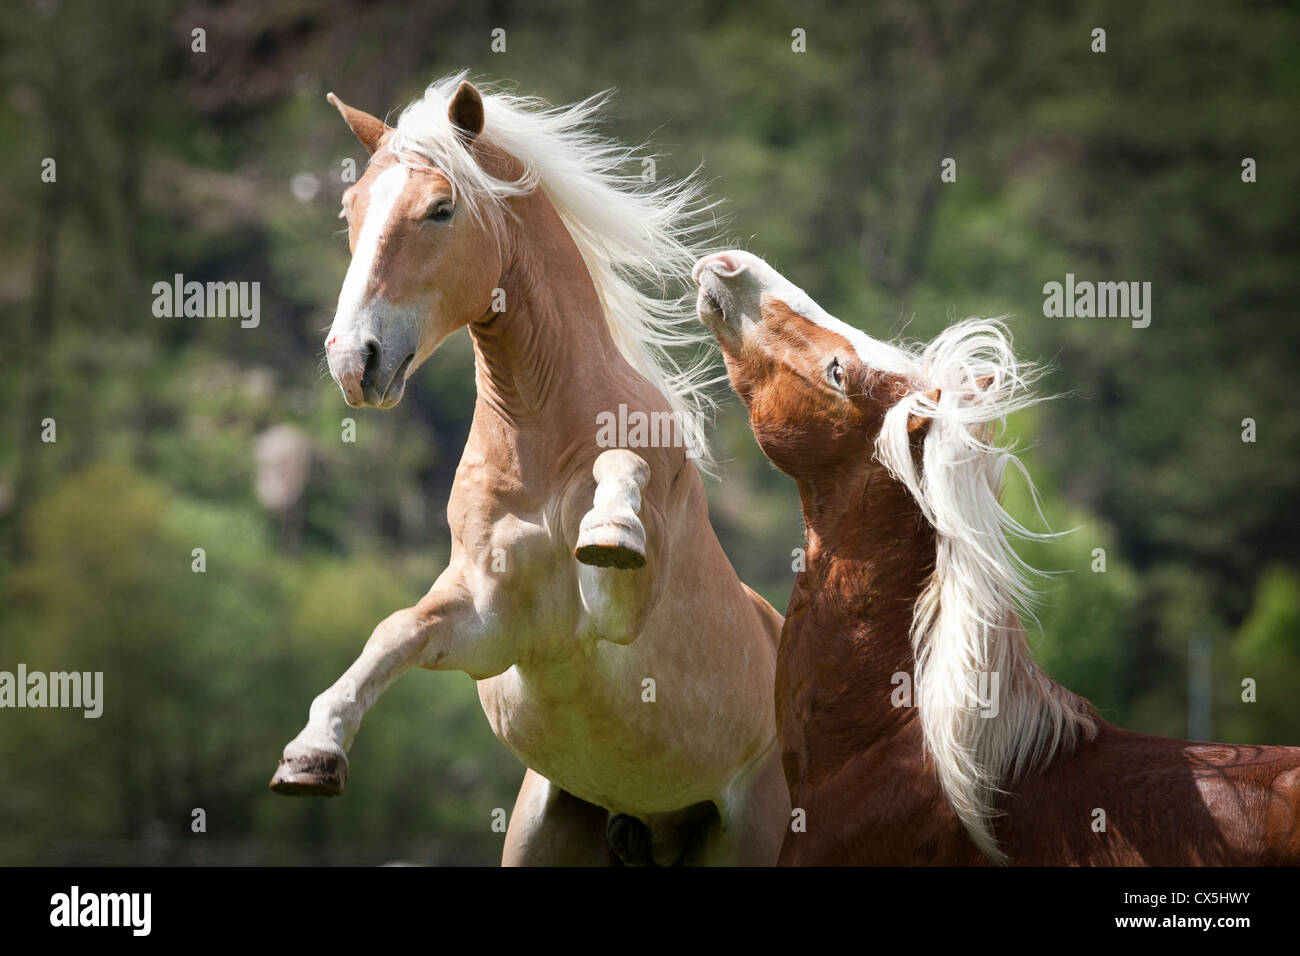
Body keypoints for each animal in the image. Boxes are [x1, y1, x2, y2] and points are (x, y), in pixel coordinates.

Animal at [268, 77, 790, 866]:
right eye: (350, 208)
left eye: (441, 207)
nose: (354, 361)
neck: (539, 438)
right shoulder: (491, 625)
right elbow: (396, 631)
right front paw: (311, 752)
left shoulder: (618, 617)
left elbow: (620, 469)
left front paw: (611, 528)